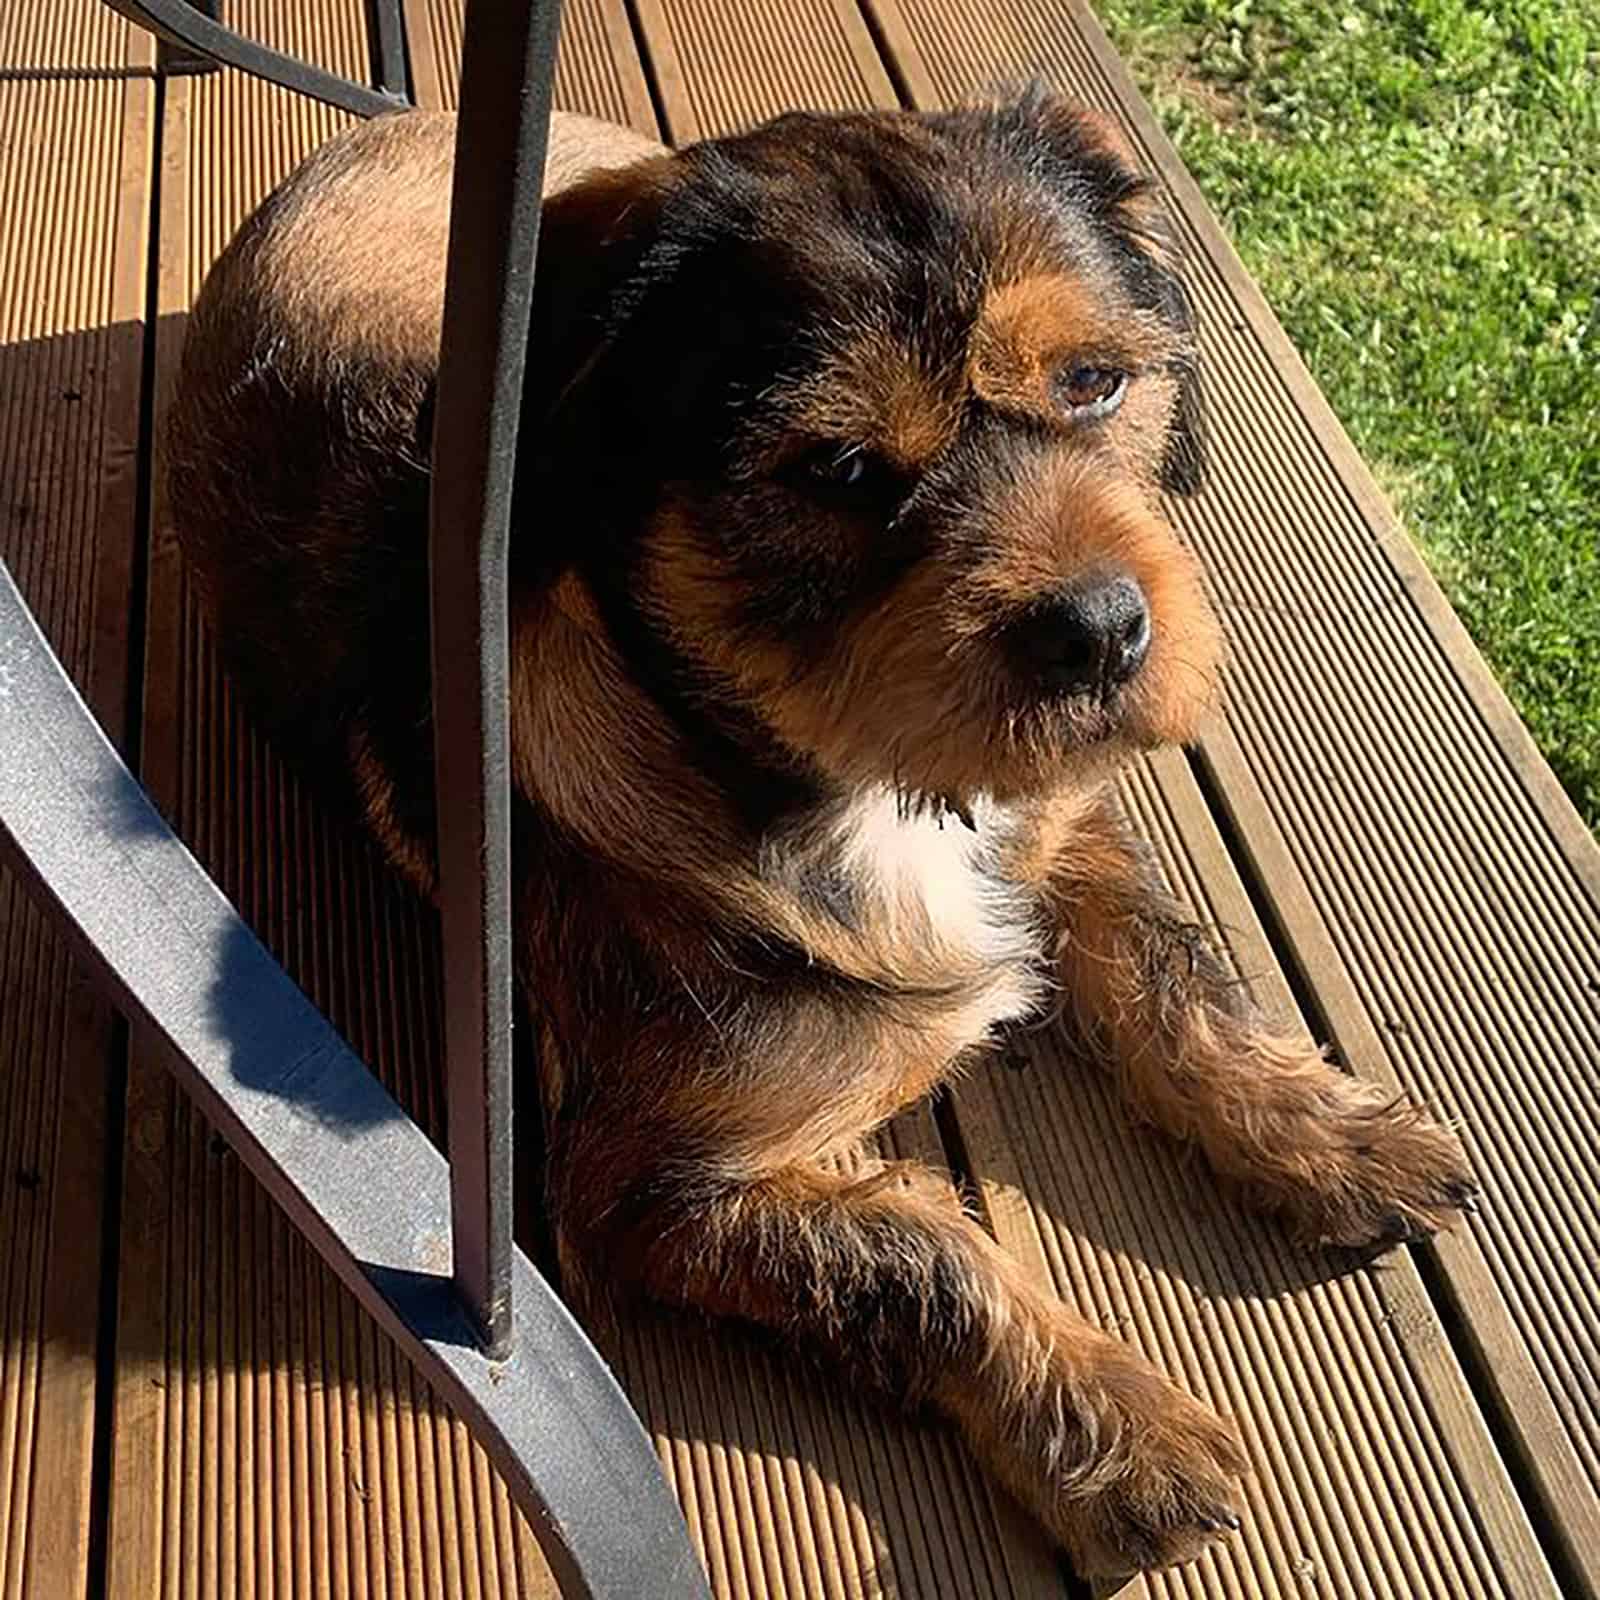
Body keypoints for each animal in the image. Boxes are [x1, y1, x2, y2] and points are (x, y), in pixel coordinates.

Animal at [165, 96, 1472, 1574]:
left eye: (1094, 381)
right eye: (838, 469)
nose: (1098, 632)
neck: (873, 798)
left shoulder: (1063, 828)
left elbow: (1171, 971)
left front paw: (1330, 1131)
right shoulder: (644, 1190)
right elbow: (918, 1250)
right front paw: (1116, 1429)